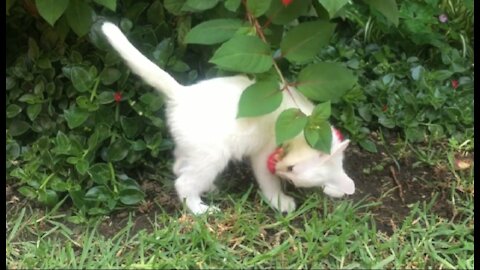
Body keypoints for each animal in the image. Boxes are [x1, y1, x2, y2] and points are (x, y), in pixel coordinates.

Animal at [101, 22, 354, 214]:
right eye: (291, 169)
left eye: (292, 176)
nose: (280, 170)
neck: (304, 124)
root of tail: (182, 94)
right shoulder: (263, 155)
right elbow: (268, 182)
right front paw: (279, 201)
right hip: (213, 155)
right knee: (183, 183)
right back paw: (201, 211)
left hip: (195, 150)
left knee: (180, 167)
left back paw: (208, 188)